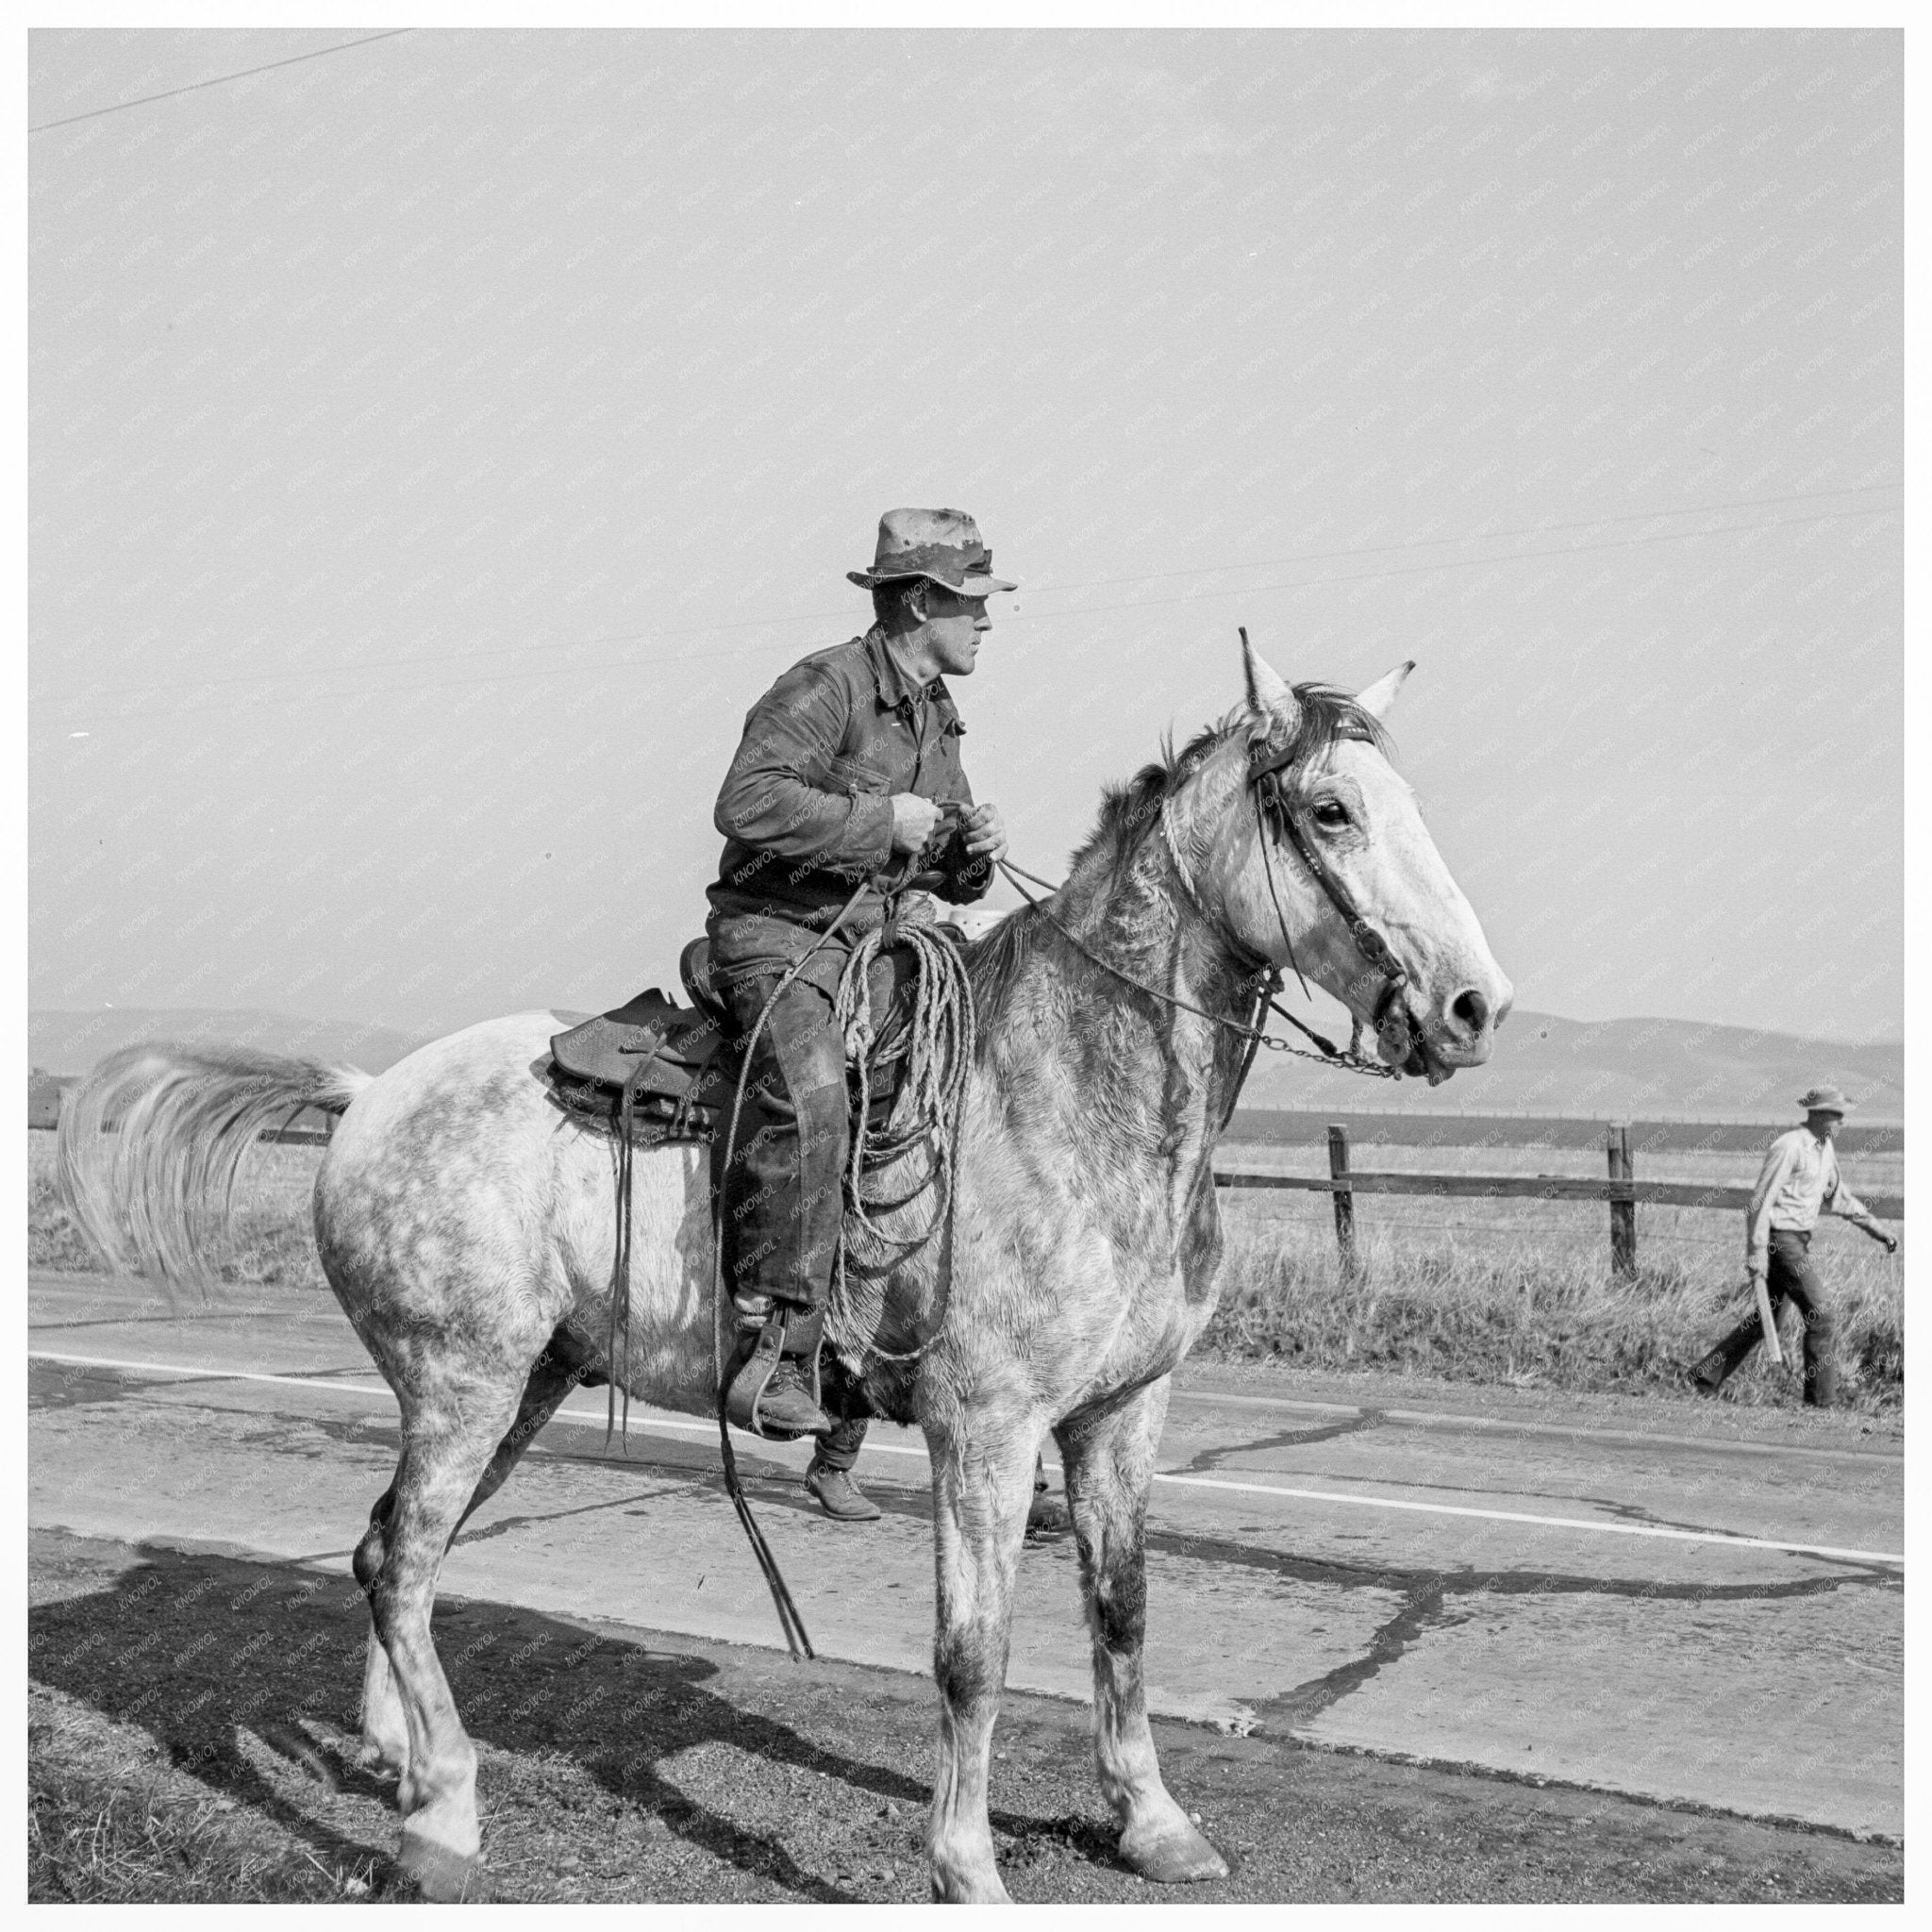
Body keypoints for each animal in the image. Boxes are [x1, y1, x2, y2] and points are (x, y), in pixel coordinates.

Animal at [60, 641, 1507, 1908]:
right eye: (1328, 809)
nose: (1473, 1008)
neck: (1066, 1096)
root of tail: (368, 1093)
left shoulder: (1122, 1412)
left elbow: (1124, 1609)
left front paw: (1153, 1823)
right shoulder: (987, 1429)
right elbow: (973, 1653)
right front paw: (967, 1865)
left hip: (521, 1383)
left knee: (397, 1552)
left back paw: (402, 1764)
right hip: (460, 1378)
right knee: (399, 1556)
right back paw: (446, 1817)